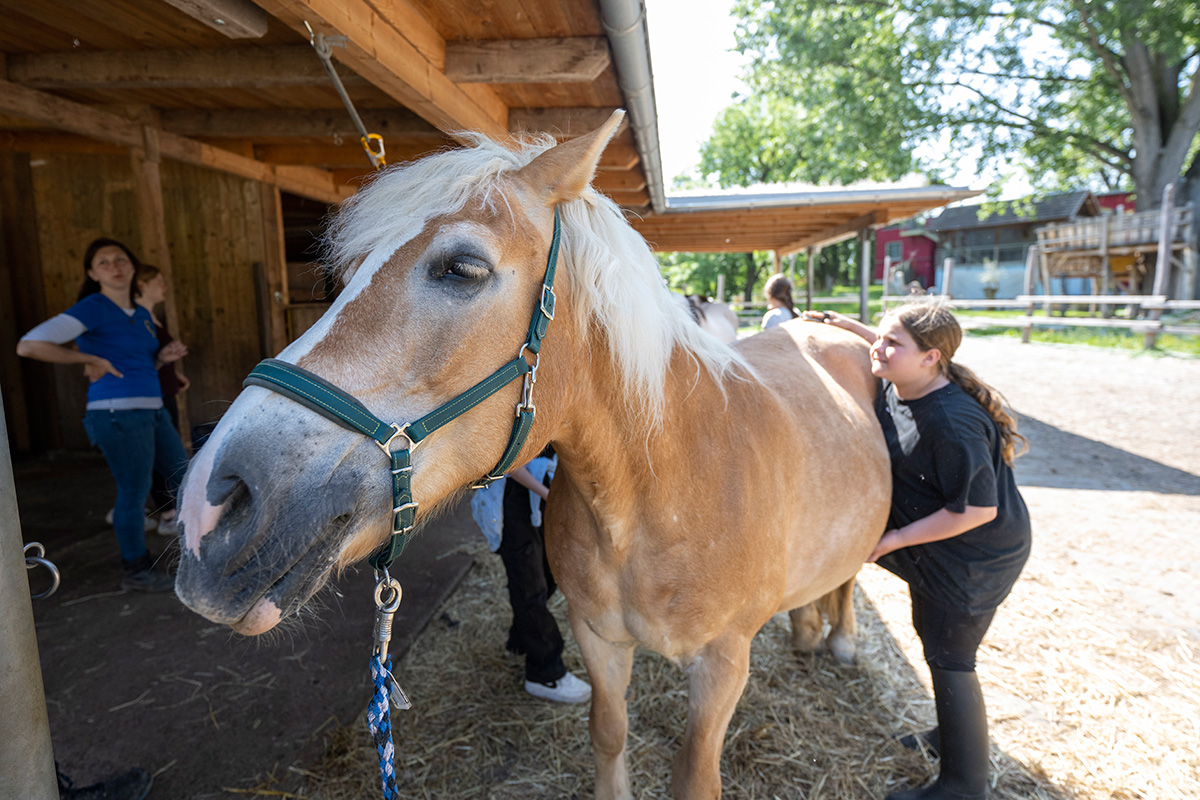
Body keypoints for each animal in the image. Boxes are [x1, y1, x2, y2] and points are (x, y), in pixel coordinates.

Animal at [175, 110, 891, 799]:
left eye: (462, 267)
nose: (211, 503)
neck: (662, 494)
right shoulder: (598, 637)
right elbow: (608, 734)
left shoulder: (722, 663)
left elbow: (695, 776)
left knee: (850, 573)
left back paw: (841, 638)